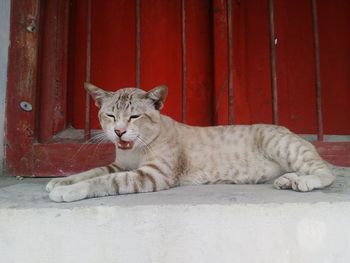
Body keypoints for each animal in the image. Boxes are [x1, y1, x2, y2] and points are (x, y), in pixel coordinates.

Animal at [46, 83, 350, 203]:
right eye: (110, 116)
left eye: (134, 117)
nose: (119, 132)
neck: (136, 151)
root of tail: (289, 130)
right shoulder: (118, 166)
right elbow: (91, 172)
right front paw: (59, 182)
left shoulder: (152, 175)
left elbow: (101, 182)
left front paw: (66, 192)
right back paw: (288, 179)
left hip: (283, 146)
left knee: (324, 171)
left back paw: (302, 181)